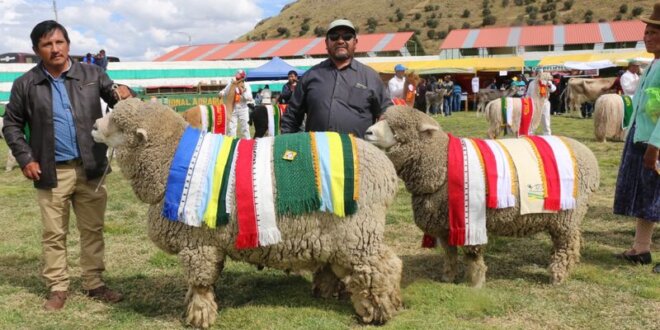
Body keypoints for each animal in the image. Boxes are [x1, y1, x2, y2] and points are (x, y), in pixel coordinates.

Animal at [91, 99, 402, 328]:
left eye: (117, 124)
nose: (94, 125)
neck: (170, 162)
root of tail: (386, 169)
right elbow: (200, 282)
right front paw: (194, 305)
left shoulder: (198, 242)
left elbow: (200, 281)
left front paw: (199, 316)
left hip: (359, 231)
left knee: (384, 266)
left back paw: (379, 310)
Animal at [364, 105, 600, 286]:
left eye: (398, 128)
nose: (367, 132)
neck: (441, 165)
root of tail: (589, 155)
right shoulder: (444, 223)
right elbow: (449, 253)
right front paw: (448, 277)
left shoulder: (471, 220)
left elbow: (472, 254)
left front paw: (476, 282)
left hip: (568, 215)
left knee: (567, 245)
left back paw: (557, 276)